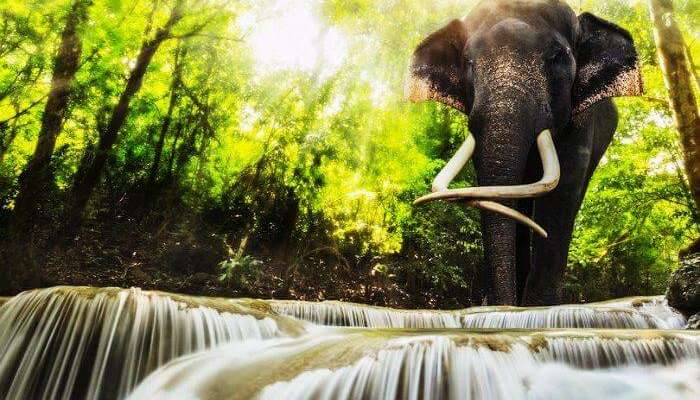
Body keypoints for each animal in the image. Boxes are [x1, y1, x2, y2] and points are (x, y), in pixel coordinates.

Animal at [408, 0, 644, 306]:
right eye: (468, 62)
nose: (496, 304)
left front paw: (539, 307)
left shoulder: (581, 119)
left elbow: (564, 187)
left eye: (557, 56)